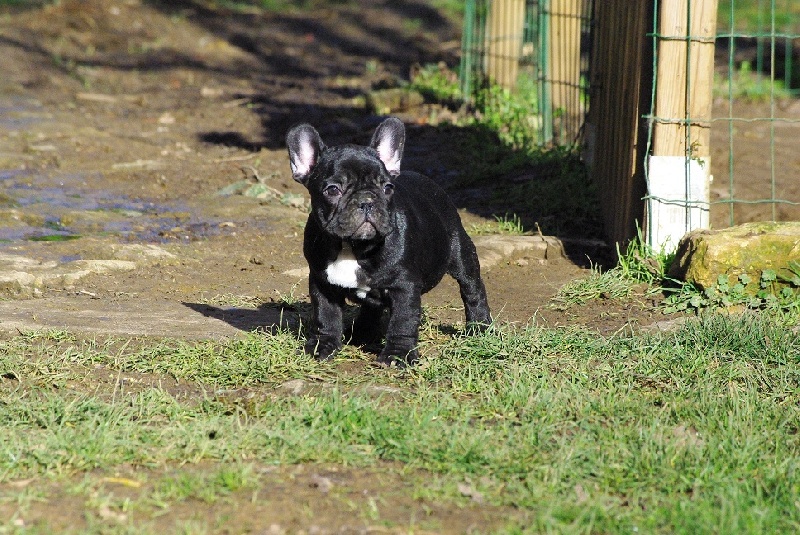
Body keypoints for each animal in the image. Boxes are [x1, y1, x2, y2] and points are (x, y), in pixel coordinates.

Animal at [284, 118, 490, 366]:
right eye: (333, 190)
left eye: (387, 188)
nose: (366, 200)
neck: (354, 247)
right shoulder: (322, 284)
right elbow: (326, 316)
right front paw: (322, 346)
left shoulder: (404, 287)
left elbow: (403, 321)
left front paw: (398, 354)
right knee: (371, 307)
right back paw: (362, 333)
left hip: (461, 252)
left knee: (472, 289)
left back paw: (480, 328)